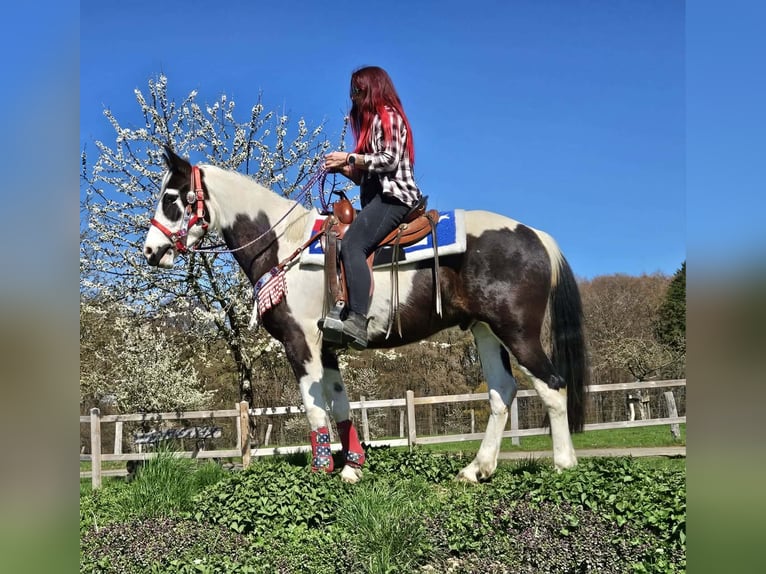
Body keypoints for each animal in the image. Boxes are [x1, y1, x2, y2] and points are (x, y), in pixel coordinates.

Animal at [143, 146, 589, 484]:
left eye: (171, 198)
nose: (150, 251)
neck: (284, 244)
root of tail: (537, 237)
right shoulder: (327, 347)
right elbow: (340, 404)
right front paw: (352, 469)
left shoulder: (300, 341)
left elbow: (314, 407)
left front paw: (321, 469)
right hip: (485, 332)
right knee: (501, 393)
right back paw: (475, 469)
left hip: (517, 332)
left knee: (552, 386)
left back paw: (563, 465)